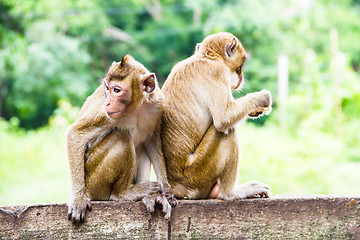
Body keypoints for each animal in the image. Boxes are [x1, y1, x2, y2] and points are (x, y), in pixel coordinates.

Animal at [67, 54, 176, 225]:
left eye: (116, 90)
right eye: (106, 87)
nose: (107, 102)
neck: (136, 108)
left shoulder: (158, 107)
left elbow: (152, 142)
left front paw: (166, 188)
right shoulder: (105, 114)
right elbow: (76, 134)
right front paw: (78, 200)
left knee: (140, 149)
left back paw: (149, 196)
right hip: (93, 181)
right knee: (121, 137)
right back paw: (123, 194)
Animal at [162, 31, 272, 201]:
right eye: (240, 66)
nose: (241, 77)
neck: (208, 57)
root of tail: (177, 187)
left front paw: (256, 110)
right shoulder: (217, 72)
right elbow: (223, 119)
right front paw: (261, 98)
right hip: (197, 173)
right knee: (225, 132)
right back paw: (230, 193)